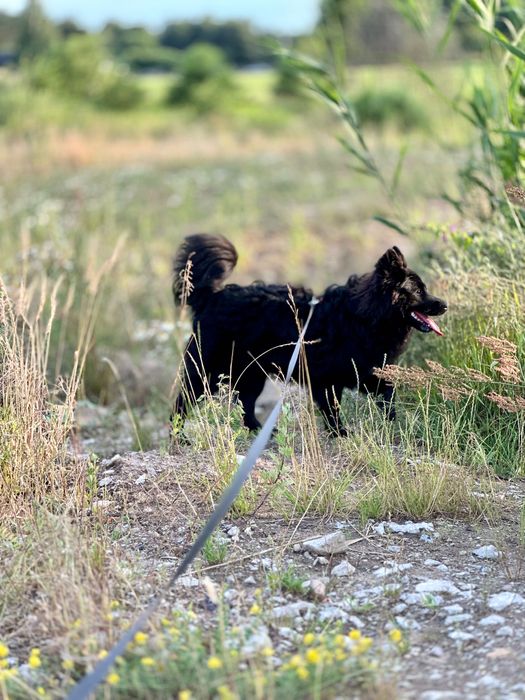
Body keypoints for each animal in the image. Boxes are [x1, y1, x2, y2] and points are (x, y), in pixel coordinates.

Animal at [172, 235, 446, 432]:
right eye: (418, 291)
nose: (444, 304)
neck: (365, 318)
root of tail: (211, 296)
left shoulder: (370, 372)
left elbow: (388, 397)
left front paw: (394, 425)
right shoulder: (326, 381)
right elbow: (333, 411)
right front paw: (340, 434)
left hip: (253, 373)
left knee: (246, 405)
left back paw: (262, 432)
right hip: (206, 370)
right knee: (181, 403)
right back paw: (180, 437)